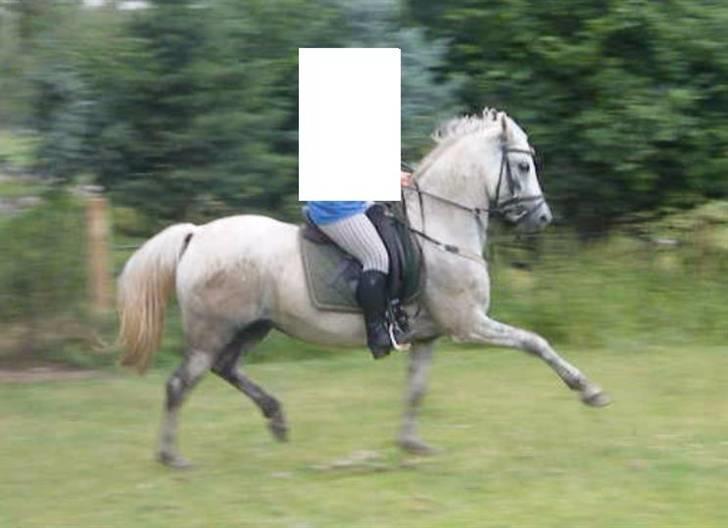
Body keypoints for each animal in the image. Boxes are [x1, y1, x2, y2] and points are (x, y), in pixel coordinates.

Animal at [117, 108, 610, 468]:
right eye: (523, 166)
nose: (542, 218)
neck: (442, 227)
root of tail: (196, 235)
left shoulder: (429, 335)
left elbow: (416, 390)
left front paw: (412, 445)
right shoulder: (468, 323)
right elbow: (535, 342)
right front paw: (588, 390)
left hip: (252, 326)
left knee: (226, 369)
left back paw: (276, 419)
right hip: (213, 330)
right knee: (180, 384)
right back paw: (172, 457)